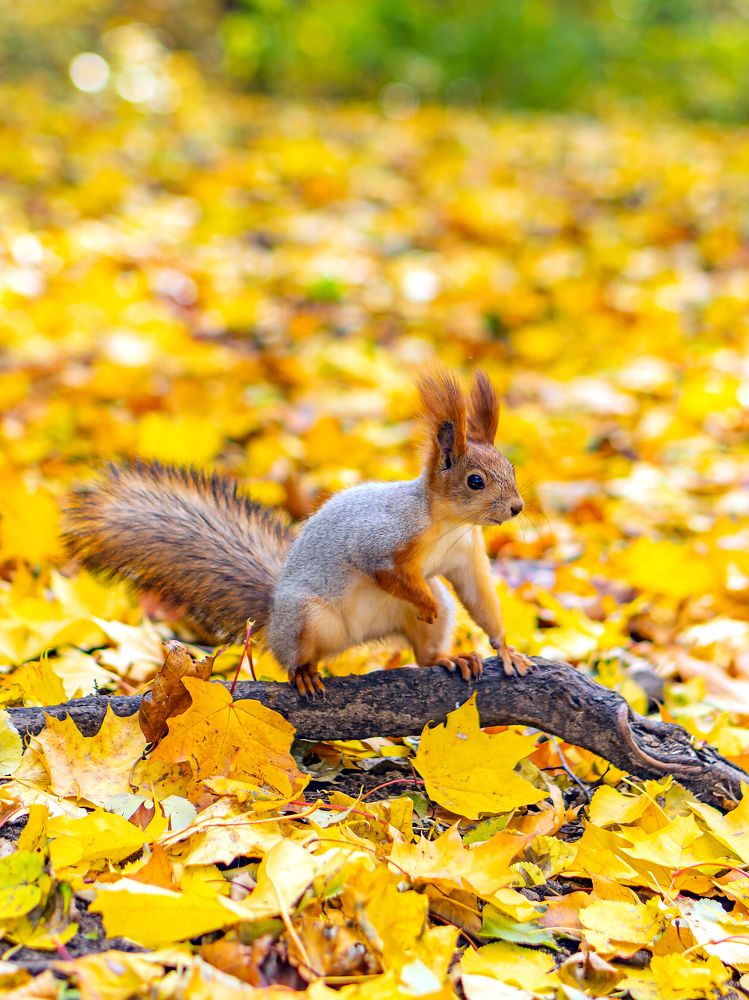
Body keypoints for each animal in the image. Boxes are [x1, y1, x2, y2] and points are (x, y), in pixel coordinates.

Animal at [63, 368, 531, 696]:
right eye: (475, 481)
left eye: (511, 469)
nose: (516, 507)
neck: (448, 525)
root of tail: (271, 617)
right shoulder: (381, 540)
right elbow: (387, 572)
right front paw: (425, 602)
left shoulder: (466, 553)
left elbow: (480, 595)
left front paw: (505, 648)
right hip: (305, 616)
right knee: (295, 659)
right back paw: (305, 674)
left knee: (425, 650)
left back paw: (449, 659)